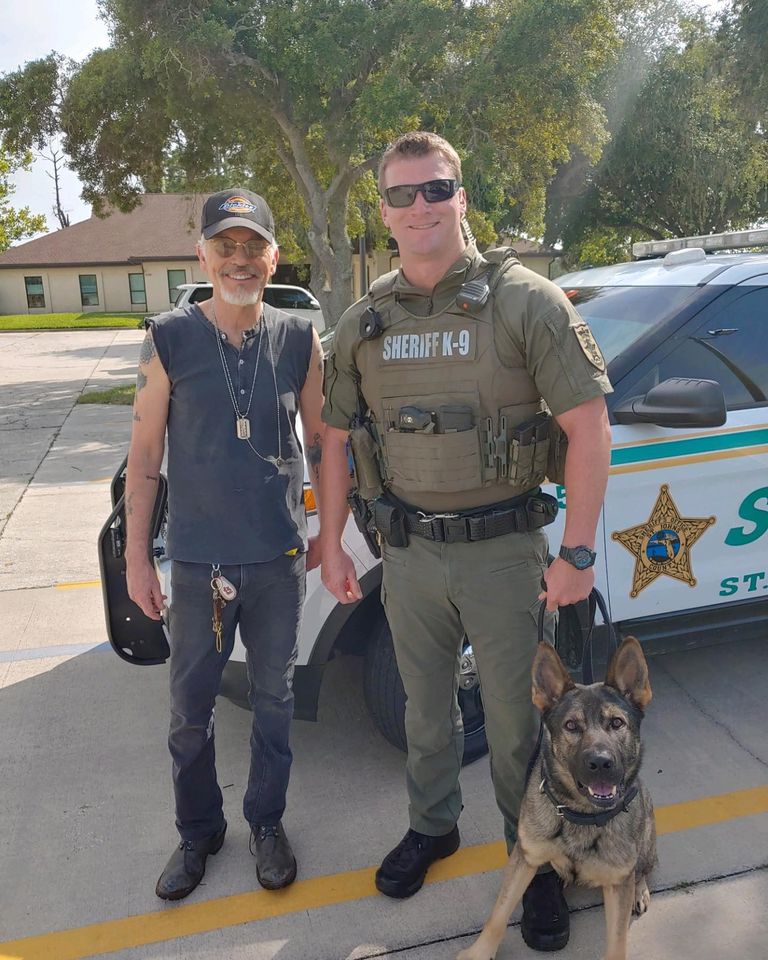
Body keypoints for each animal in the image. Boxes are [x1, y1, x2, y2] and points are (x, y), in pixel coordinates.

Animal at [460, 636, 656, 960]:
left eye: (617, 723)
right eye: (571, 726)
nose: (601, 762)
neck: (581, 814)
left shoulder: (618, 883)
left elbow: (616, 942)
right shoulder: (525, 857)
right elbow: (498, 915)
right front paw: (478, 952)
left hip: (646, 839)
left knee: (642, 869)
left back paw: (640, 889)